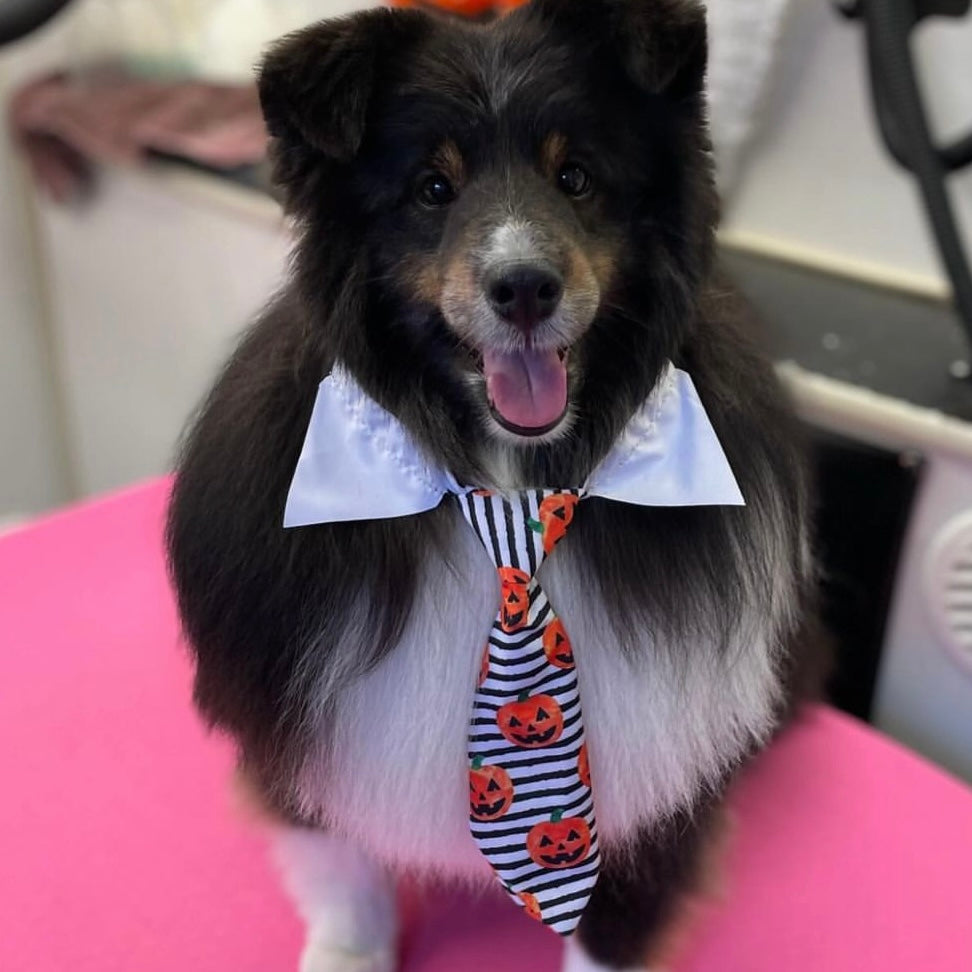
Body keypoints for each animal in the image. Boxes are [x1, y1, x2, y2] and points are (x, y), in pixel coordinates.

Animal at [167, 3, 820, 968]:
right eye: (432, 188)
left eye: (576, 176)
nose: (524, 289)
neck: (509, 485)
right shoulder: (298, 722)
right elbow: (344, 875)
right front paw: (347, 951)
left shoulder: (658, 785)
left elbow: (609, 929)